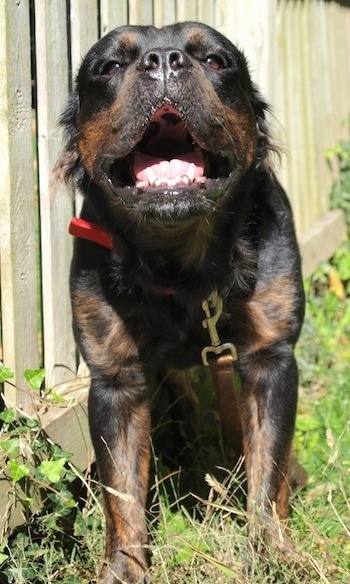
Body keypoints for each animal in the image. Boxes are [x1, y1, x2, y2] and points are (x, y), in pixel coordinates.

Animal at [56, 20, 304, 580]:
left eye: (214, 60)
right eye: (110, 66)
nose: (164, 59)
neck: (180, 264)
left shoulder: (271, 360)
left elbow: (268, 469)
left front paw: (271, 552)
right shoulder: (115, 380)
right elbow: (121, 494)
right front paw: (124, 569)